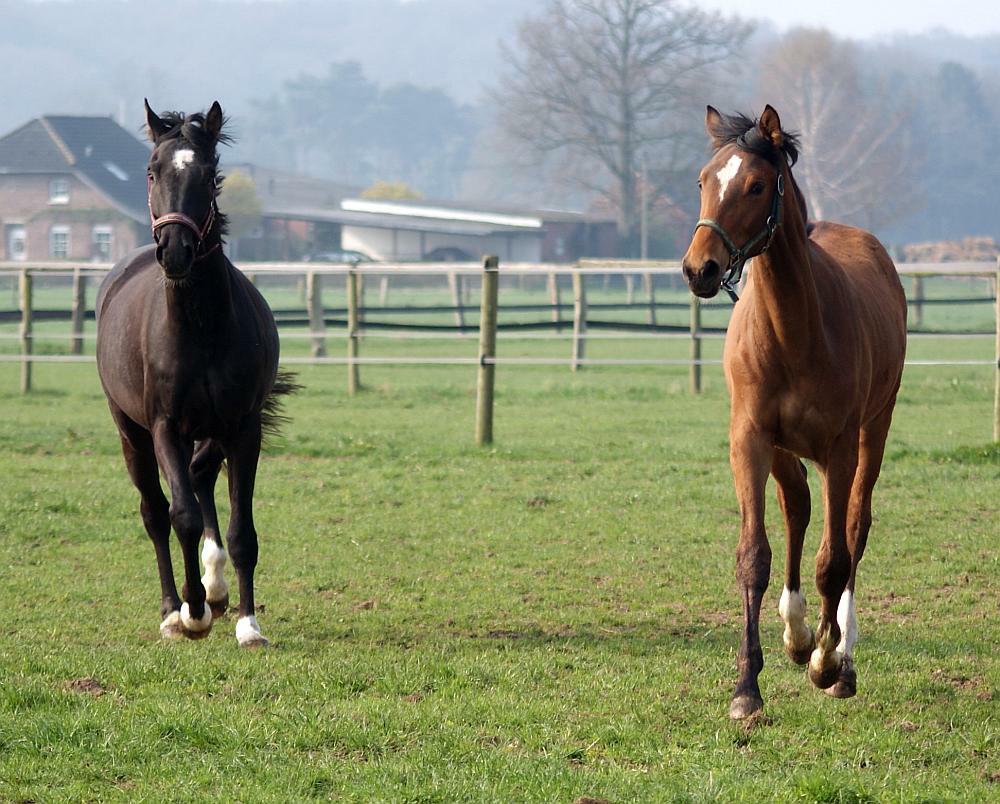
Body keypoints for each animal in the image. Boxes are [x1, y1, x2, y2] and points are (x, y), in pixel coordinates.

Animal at [95, 100, 294, 648]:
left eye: (207, 174)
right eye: (151, 170)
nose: (176, 251)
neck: (200, 327)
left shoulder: (242, 428)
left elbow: (242, 530)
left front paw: (248, 623)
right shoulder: (164, 426)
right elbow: (179, 515)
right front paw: (193, 613)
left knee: (202, 478)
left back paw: (217, 588)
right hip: (132, 432)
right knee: (155, 511)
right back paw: (173, 607)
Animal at [680, 105, 908, 716]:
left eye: (757, 185)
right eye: (703, 181)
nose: (699, 268)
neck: (794, 331)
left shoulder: (839, 446)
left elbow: (835, 559)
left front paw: (826, 662)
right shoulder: (751, 439)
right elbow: (754, 556)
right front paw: (747, 688)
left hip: (872, 434)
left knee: (853, 527)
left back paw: (839, 654)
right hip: (785, 451)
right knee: (798, 510)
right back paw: (797, 630)